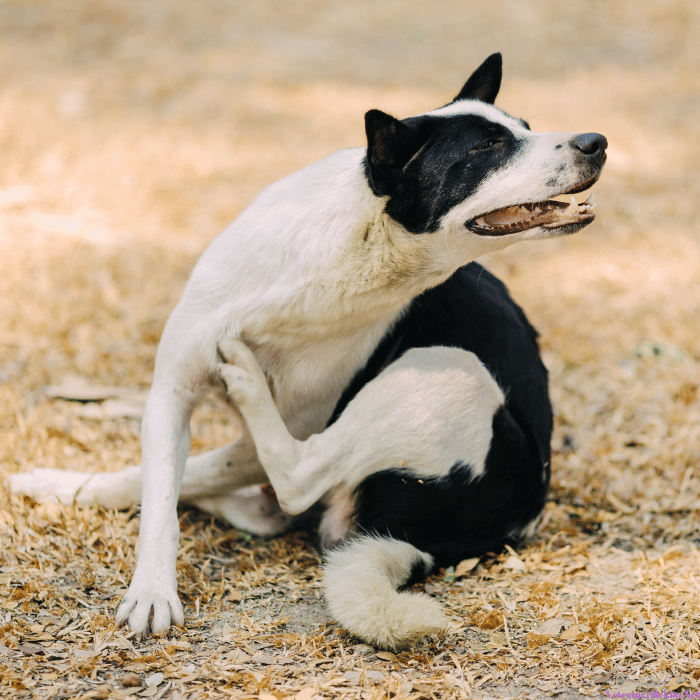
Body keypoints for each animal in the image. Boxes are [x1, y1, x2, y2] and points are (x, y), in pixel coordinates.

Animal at [9, 54, 608, 652]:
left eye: (524, 128)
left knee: (295, 481)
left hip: (448, 370)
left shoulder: (289, 424)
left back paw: (245, 383)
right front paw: (147, 583)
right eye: (487, 146)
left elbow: (196, 476)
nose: (597, 141)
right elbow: (159, 494)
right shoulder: (171, 390)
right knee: (259, 503)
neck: (352, 249)